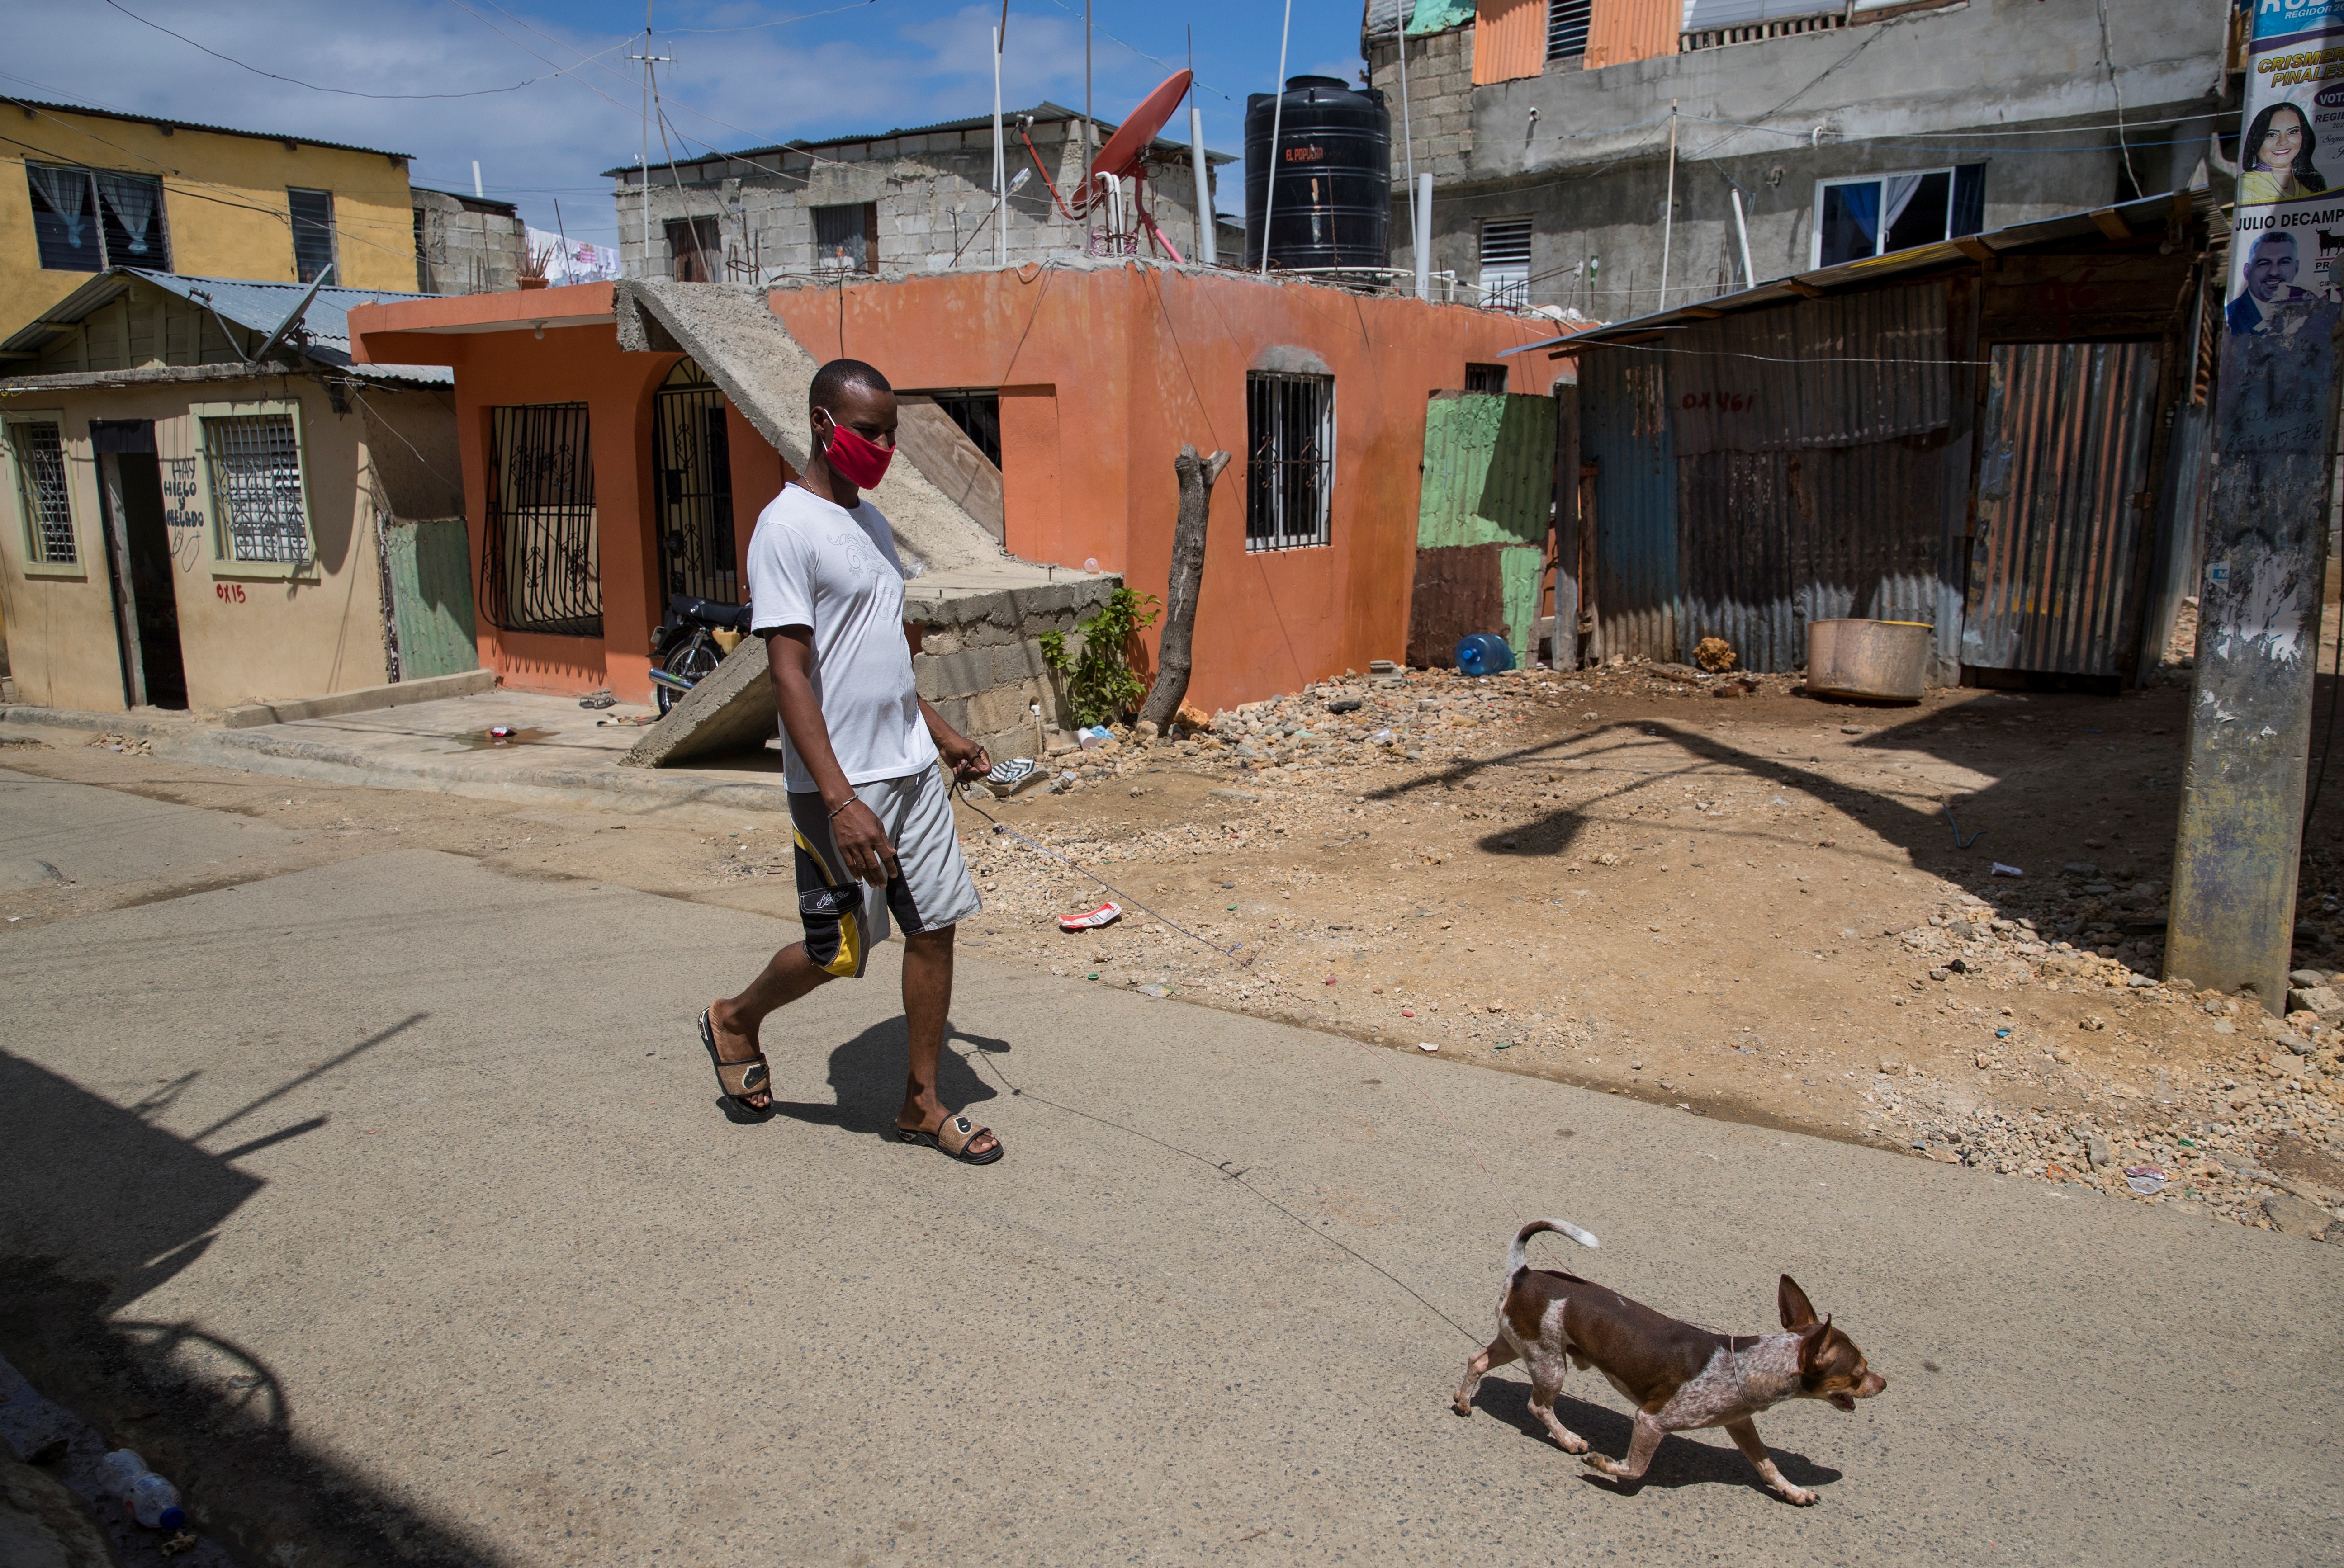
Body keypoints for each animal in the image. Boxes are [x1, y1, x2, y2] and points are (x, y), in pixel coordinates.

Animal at [1444, 1219, 1885, 1500]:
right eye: (1858, 1373)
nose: (1883, 1384)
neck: (1745, 1367)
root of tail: (1523, 1272)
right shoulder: (1650, 1421)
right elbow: (1635, 1467)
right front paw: (1603, 1464)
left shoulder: (1741, 1425)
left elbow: (1768, 1465)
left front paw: (1793, 1491)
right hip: (1550, 1365)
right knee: (1538, 1406)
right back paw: (1568, 1439)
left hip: (1517, 1344)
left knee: (1476, 1360)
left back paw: (1465, 1402)